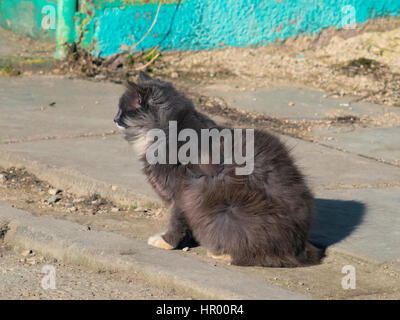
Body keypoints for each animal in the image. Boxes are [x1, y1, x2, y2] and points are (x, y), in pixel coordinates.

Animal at [115, 72, 318, 268]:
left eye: (123, 111)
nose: (115, 118)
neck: (166, 130)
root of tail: (300, 248)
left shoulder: (182, 194)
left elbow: (175, 222)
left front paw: (166, 242)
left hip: (228, 213)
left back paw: (220, 253)